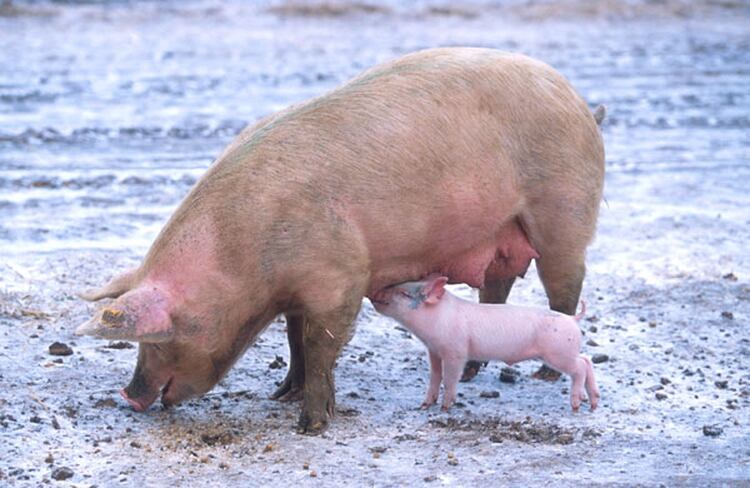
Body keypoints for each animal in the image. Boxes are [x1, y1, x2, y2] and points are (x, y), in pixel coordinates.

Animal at [374, 276, 604, 410]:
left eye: (404, 293)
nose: (376, 293)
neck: (437, 318)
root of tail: (572, 319)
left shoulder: (455, 350)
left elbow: (450, 378)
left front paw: (445, 407)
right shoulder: (434, 350)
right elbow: (434, 376)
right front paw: (424, 405)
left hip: (558, 352)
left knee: (580, 367)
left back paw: (577, 404)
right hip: (566, 351)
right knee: (586, 360)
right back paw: (592, 402)